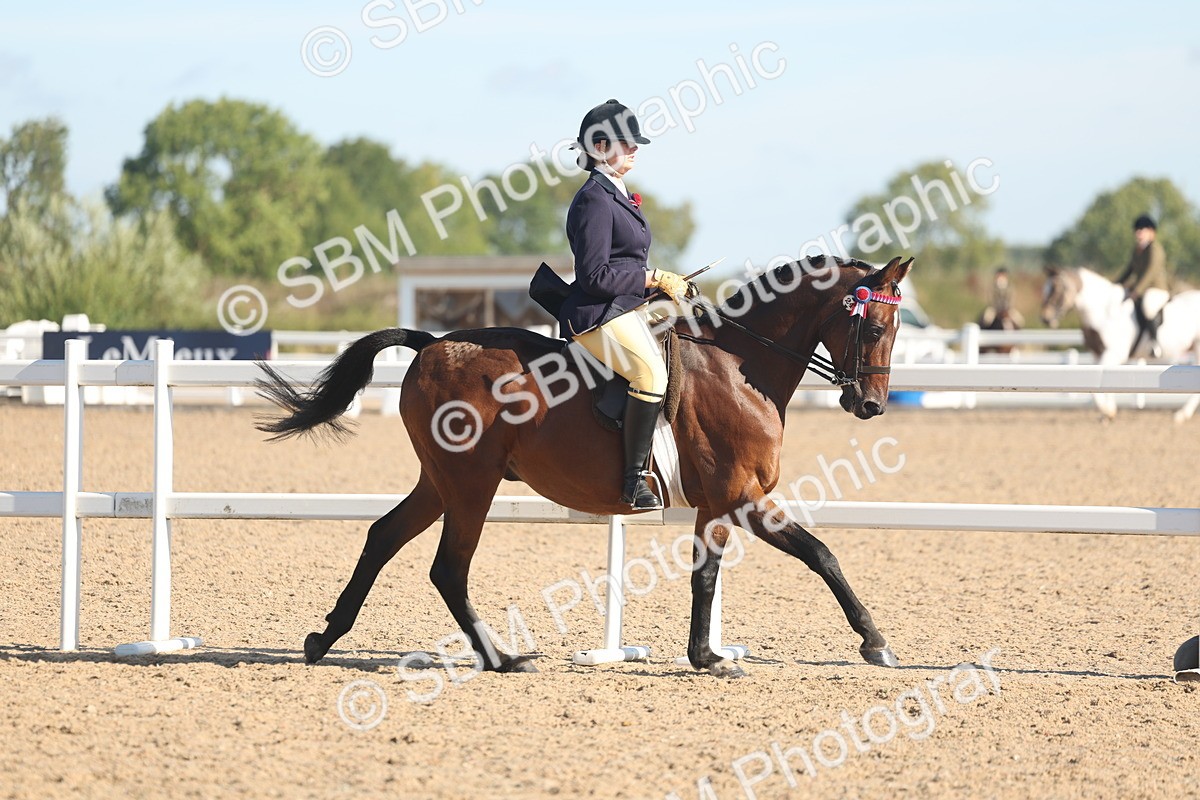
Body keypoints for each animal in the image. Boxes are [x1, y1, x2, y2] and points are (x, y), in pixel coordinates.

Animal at [255, 255, 914, 679]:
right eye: (874, 327)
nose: (871, 405)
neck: (740, 366)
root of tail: (434, 343)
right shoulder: (742, 496)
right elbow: (821, 555)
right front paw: (875, 642)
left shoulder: (716, 504)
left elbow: (705, 576)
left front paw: (705, 657)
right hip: (470, 485)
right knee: (448, 568)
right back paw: (501, 659)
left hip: (440, 483)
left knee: (383, 535)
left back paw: (323, 638)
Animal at [1040, 266, 1200, 422]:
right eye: (1045, 289)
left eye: (1056, 289)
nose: (1045, 318)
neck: (1103, 313)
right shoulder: (1098, 353)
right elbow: (1104, 381)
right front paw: (1109, 413)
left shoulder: (1114, 353)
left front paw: (1107, 410)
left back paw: (1181, 414)